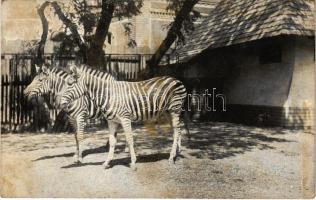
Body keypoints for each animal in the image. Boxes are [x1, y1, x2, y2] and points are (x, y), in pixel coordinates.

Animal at [58, 64, 188, 170]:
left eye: (70, 84)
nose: (61, 103)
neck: (108, 95)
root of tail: (176, 79)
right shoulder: (112, 121)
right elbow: (112, 142)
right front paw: (107, 162)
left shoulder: (125, 118)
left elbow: (130, 139)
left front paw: (133, 163)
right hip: (167, 112)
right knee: (177, 130)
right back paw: (176, 153)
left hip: (174, 109)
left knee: (176, 131)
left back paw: (171, 157)